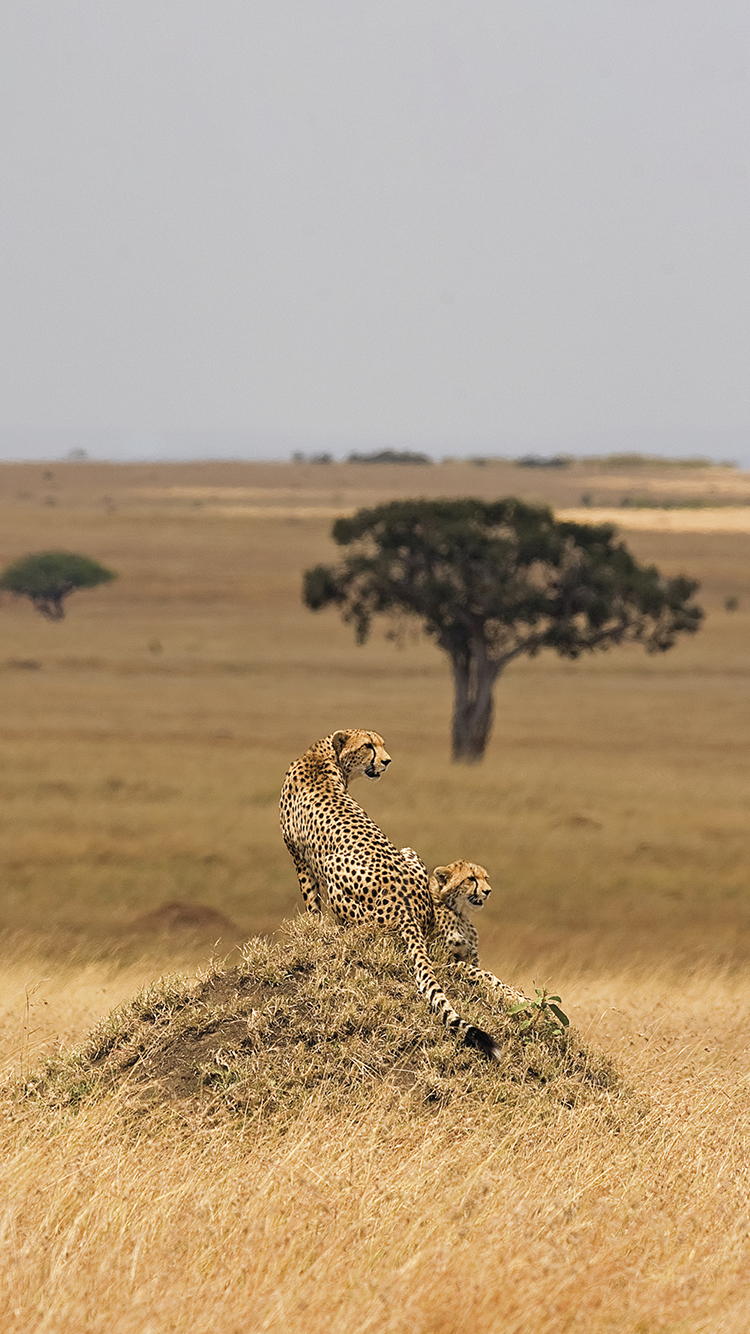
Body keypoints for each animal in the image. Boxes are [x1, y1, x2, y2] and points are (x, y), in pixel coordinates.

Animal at [278, 725, 507, 1056]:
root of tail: (405, 904)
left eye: (381, 744)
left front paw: (312, 930)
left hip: (335, 870)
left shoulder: (299, 857)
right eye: (368, 746)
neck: (322, 755)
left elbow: (311, 905)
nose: (386, 761)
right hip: (409, 852)